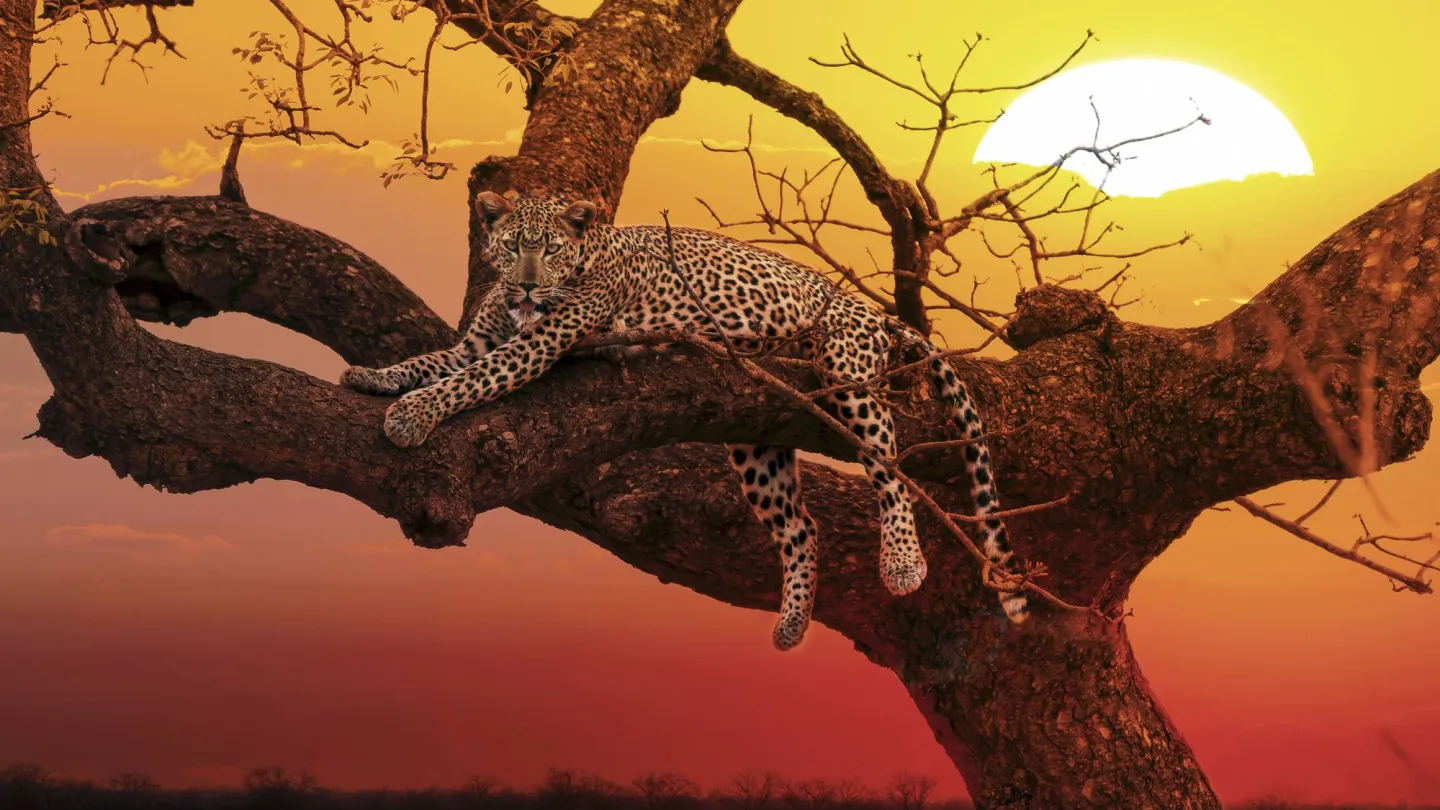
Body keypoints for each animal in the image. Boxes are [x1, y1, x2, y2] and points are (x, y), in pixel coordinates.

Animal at [340, 192, 1029, 650]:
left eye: (551, 249)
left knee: (889, 468)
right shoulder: (479, 341)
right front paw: (376, 376)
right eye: (512, 245)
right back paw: (792, 624)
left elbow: (467, 381)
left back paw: (903, 562)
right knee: (801, 524)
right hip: (757, 435)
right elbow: (433, 361)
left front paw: (412, 415)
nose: (530, 287)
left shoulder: (534, 345)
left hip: (848, 369)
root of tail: (871, 309)